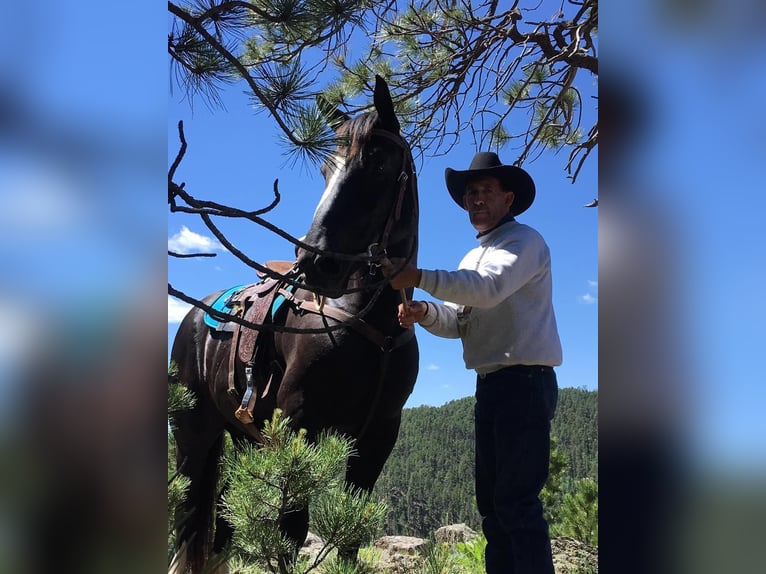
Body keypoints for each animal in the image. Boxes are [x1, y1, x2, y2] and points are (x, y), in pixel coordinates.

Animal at [171, 77, 420, 574]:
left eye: (379, 162)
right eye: (325, 169)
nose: (314, 262)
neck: (371, 324)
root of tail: (192, 315)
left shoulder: (378, 438)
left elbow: (350, 532)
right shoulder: (298, 424)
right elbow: (290, 532)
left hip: (242, 437)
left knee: (223, 516)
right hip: (191, 435)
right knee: (187, 516)